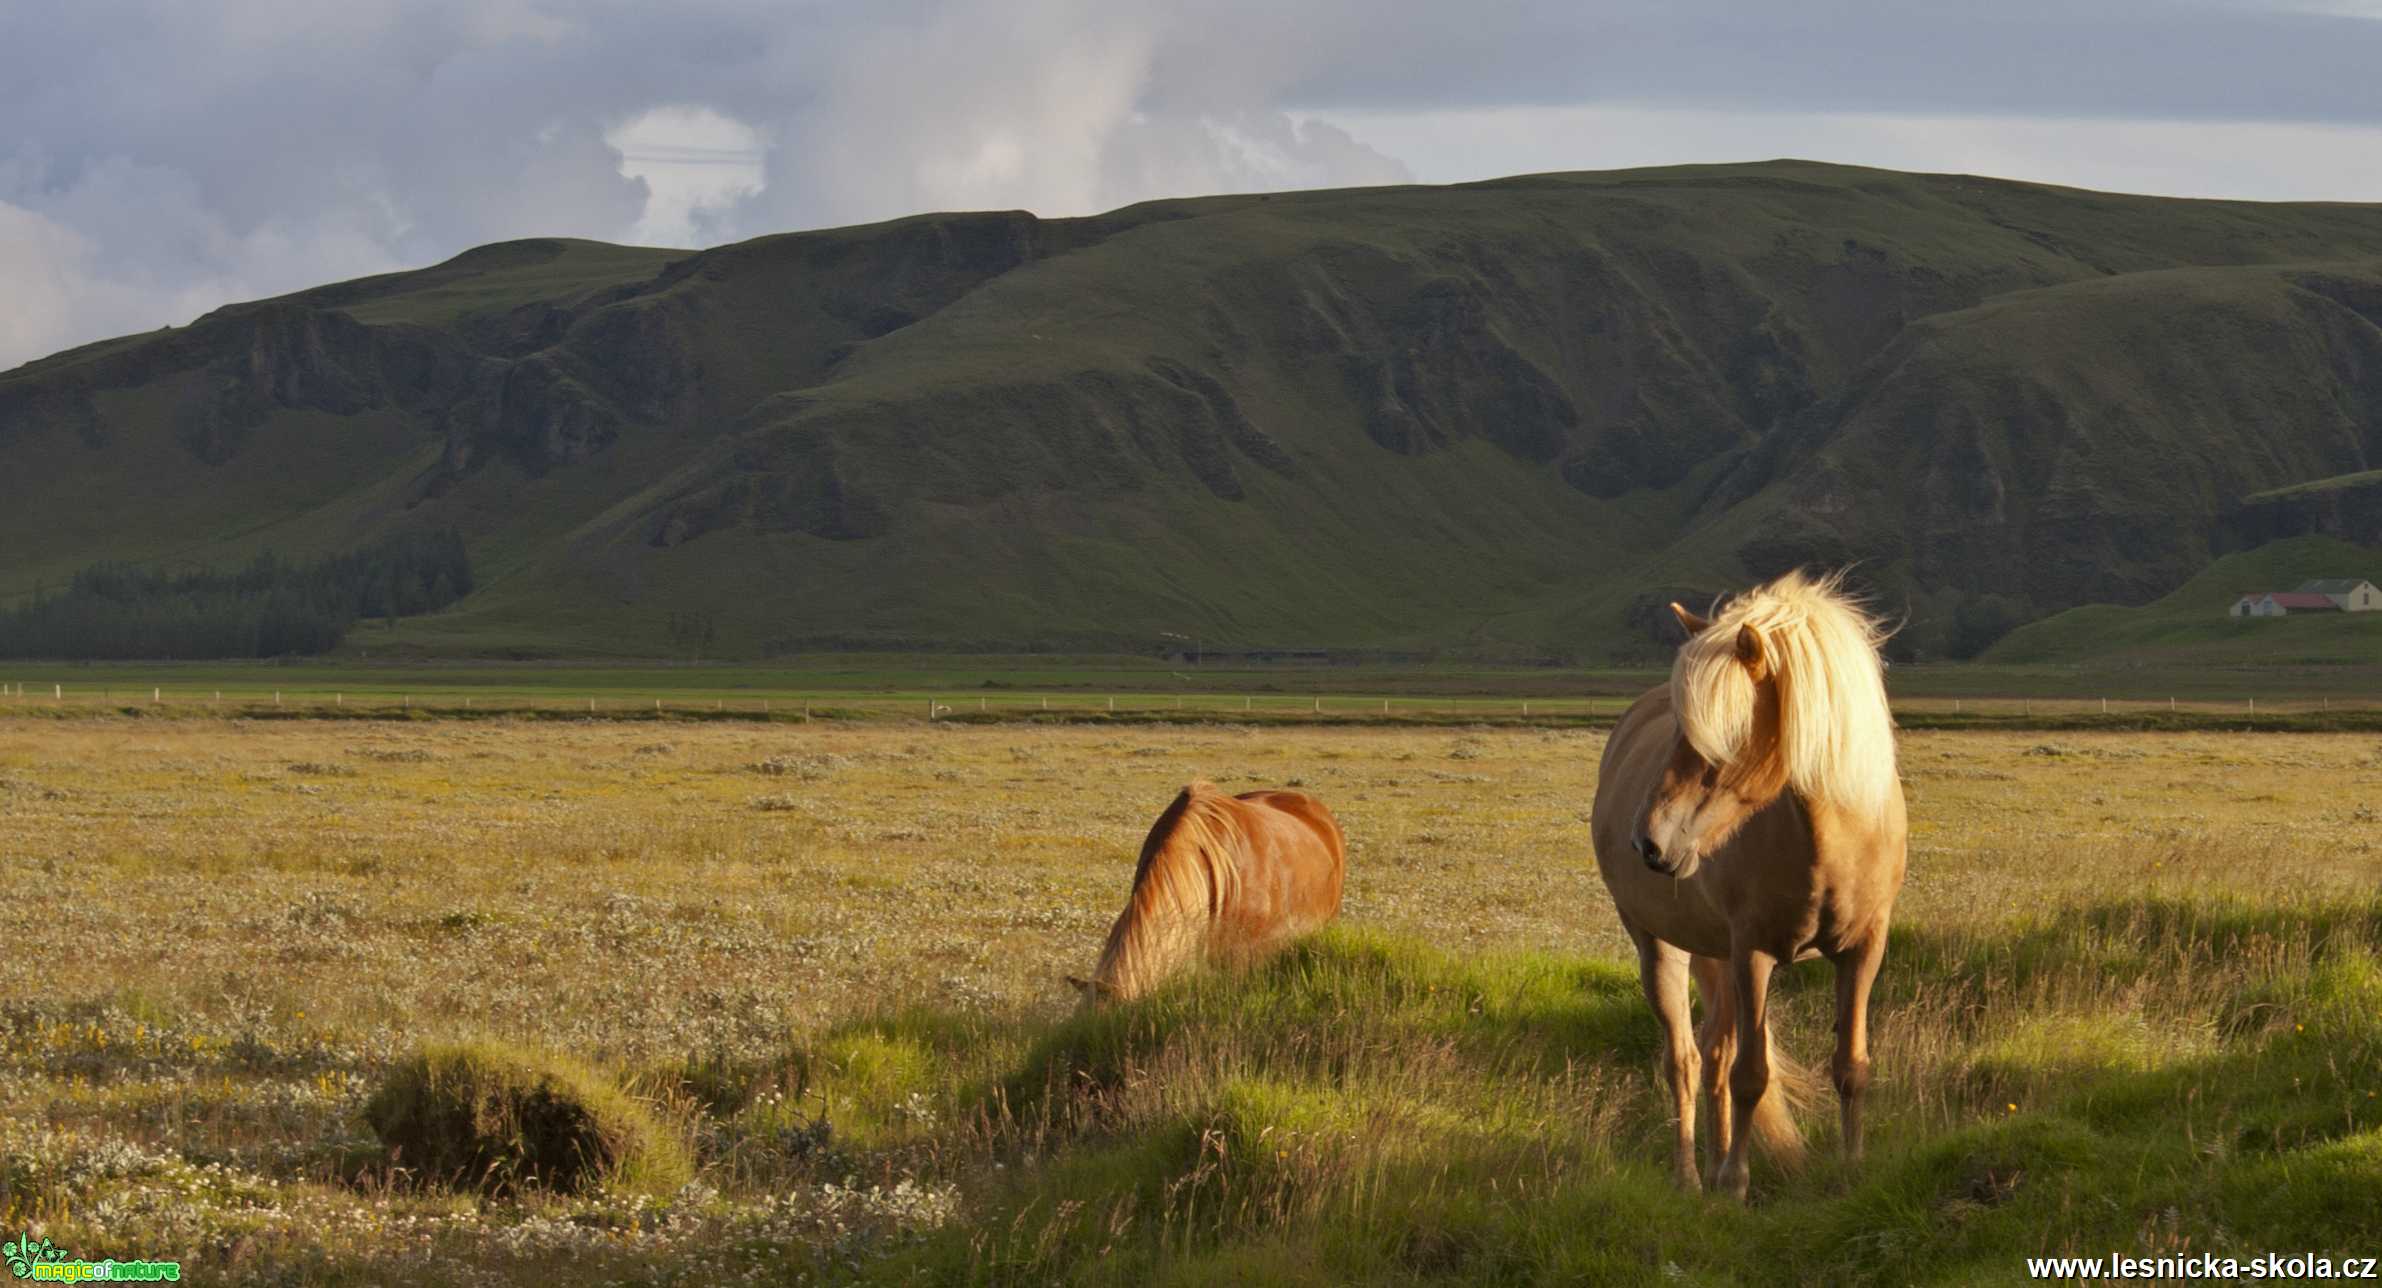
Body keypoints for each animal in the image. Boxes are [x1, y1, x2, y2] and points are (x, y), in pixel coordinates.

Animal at [1591, 566, 1905, 1199]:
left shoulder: (1864, 950)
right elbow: (1751, 1076)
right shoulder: (1753, 955)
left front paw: (1851, 1170)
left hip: (1717, 957)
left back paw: (1711, 1166)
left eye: (1728, 732)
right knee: (1685, 1060)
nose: (1649, 842)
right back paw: (1693, 1177)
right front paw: (1736, 1185)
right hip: (1662, 948)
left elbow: (1850, 1067)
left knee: (1714, 1051)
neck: (1834, 838)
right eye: (1679, 728)